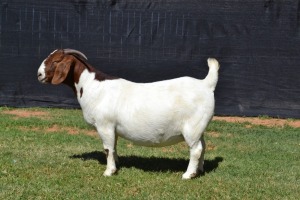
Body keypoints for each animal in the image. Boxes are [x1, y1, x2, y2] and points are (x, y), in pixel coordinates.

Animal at [38, 48, 220, 180]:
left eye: (56, 61)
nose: (39, 74)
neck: (92, 86)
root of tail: (206, 84)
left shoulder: (104, 125)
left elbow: (107, 148)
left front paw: (109, 171)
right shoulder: (113, 128)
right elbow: (114, 146)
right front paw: (116, 164)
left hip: (192, 127)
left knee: (195, 149)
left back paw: (188, 174)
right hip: (199, 127)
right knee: (203, 146)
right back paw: (200, 170)